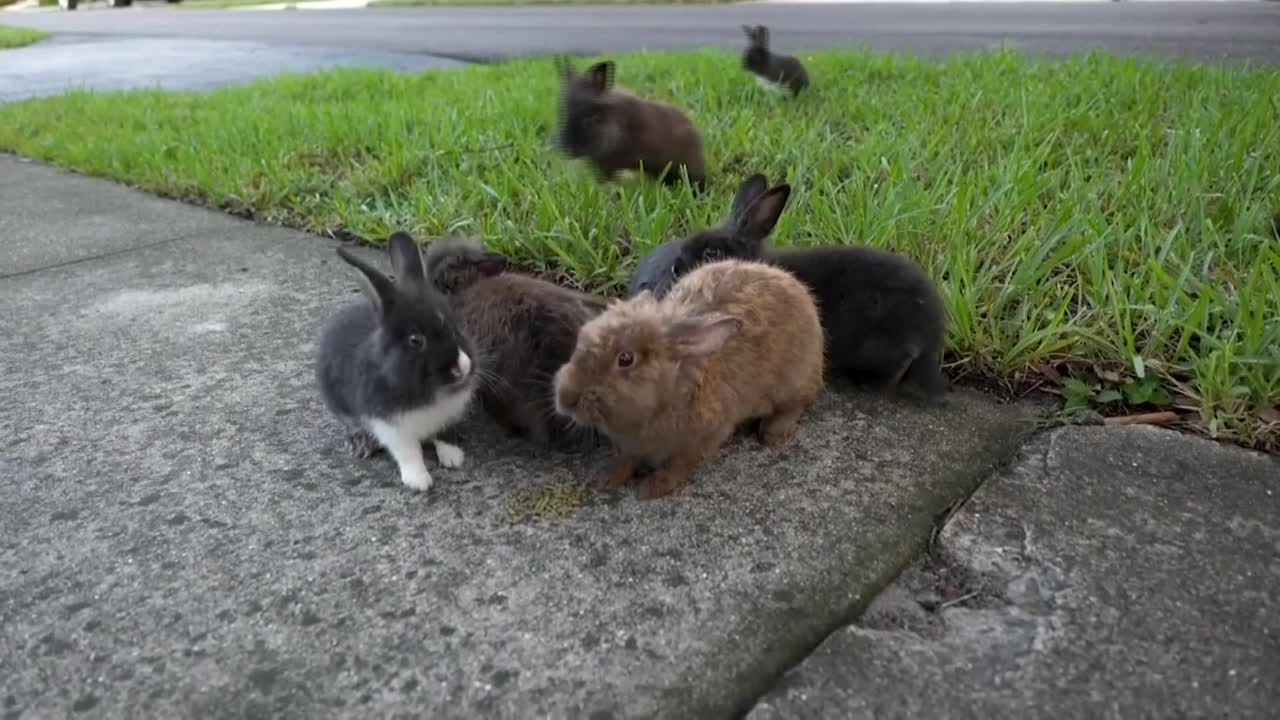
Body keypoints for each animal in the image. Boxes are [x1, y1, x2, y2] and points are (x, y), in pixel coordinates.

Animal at [315, 231, 479, 493]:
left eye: (456, 327)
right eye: (415, 340)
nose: (462, 368)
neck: (434, 392)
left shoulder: (446, 417)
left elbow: (442, 435)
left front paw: (453, 457)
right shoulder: (391, 427)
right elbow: (409, 452)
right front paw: (419, 480)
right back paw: (362, 445)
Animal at [553, 258, 825, 500]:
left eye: (626, 359)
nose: (566, 398)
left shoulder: (704, 437)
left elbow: (679, 465)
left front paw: (652, 489)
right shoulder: (628, 446)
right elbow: (625, 460)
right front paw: (607, 481)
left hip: (793, 380)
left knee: (797, 403)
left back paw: (774, 435)